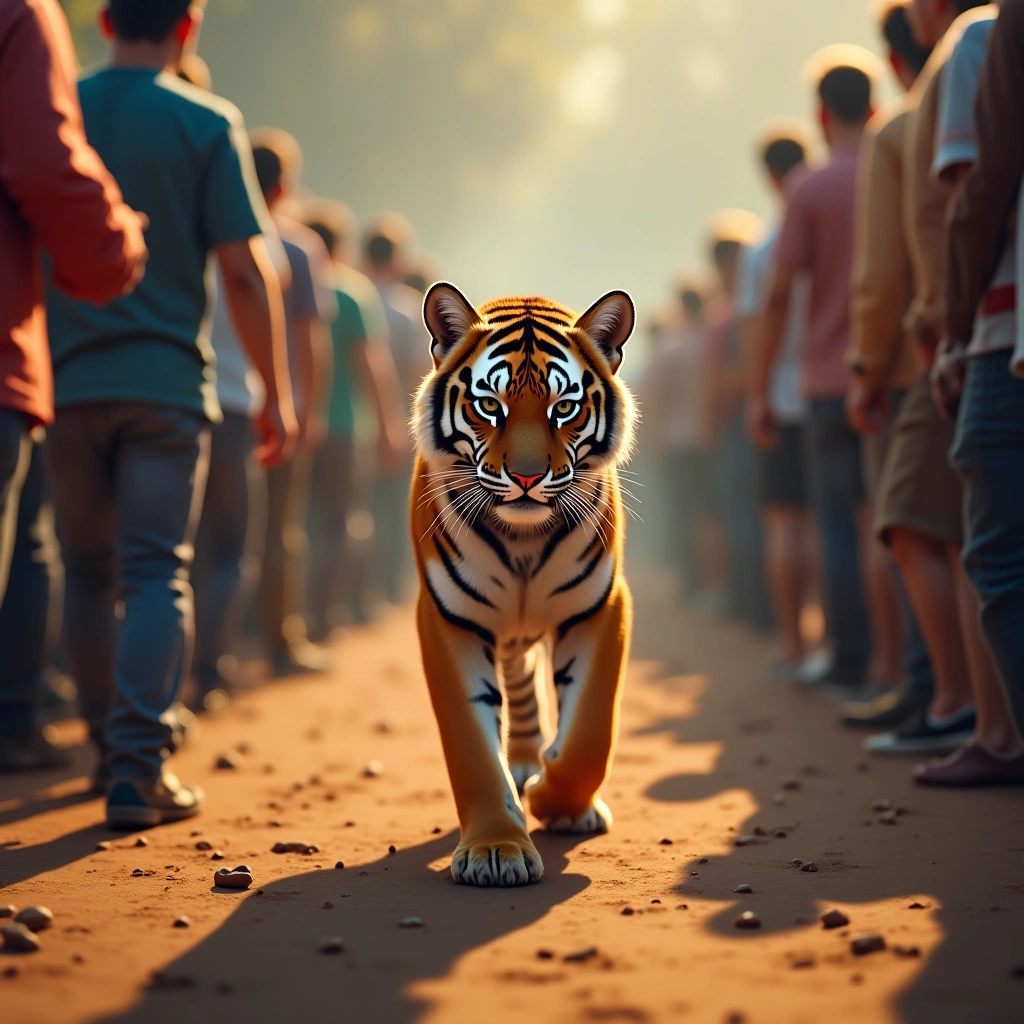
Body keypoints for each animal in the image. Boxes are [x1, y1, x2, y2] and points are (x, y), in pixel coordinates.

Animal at [411, 281, 637, 887]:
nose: (529, 477)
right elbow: (471, 747)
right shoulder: (448, 619)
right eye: (490, 404)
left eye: (565, 408)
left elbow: (589, 737)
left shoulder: (600, 608)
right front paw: (496, 849)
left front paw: (557, 802)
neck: (523, 544)